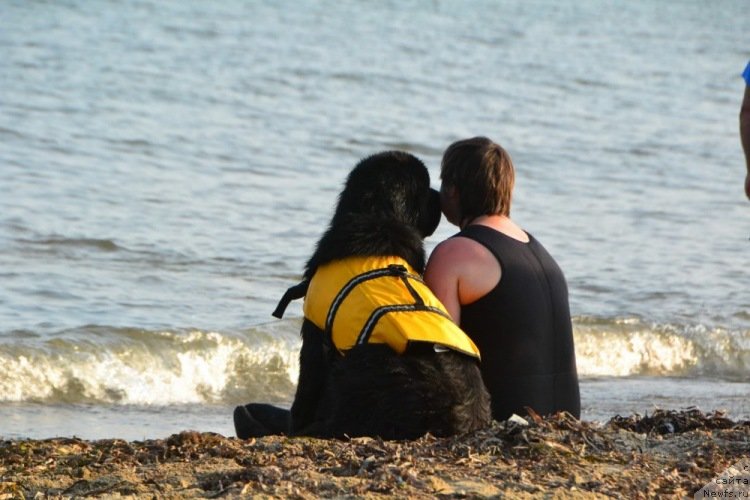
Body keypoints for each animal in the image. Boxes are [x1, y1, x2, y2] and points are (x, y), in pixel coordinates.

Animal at [236, 150, 494, 440]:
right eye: (426, 186)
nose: (438, 195)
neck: (380, 218)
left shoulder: (315, 332)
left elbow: (306, 387)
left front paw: (293, 423)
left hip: (361, 363)